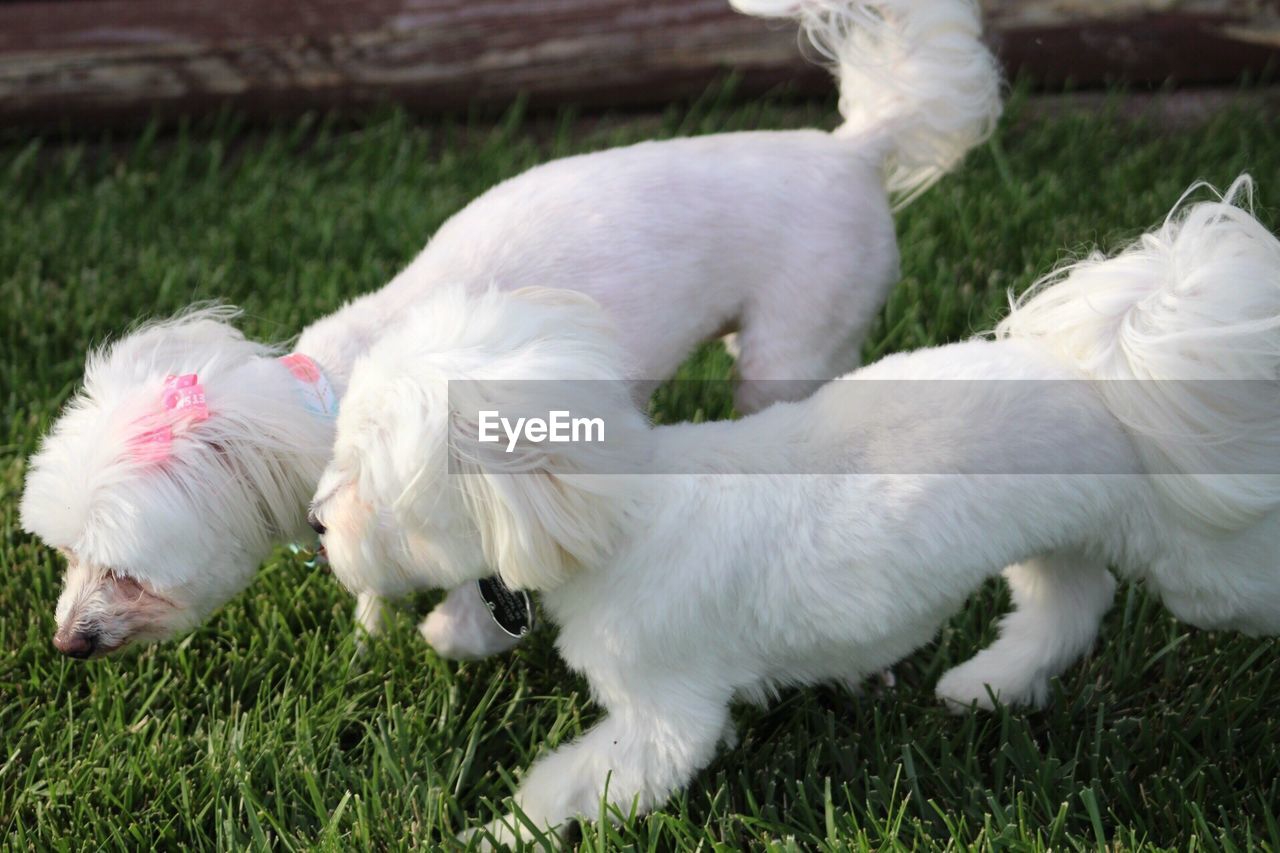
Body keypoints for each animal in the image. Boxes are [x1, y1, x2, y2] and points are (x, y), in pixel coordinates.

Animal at [17, 0, 998, 655]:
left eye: (127, 569)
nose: (68, 643)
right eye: (65, 554)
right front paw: (370, 634)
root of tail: (853, 147)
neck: (323, 402)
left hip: (794, 336)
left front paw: (448, 631)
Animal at [309, 175, 1280, 840]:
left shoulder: (665, 714)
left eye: (365, 481)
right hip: (1053, 535)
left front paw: (502, 829)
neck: (625, 512)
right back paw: (988, 683)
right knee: (1067, 603)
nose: (317, 522)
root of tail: (1105, 374)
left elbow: (581, 782)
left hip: (1202, 569)